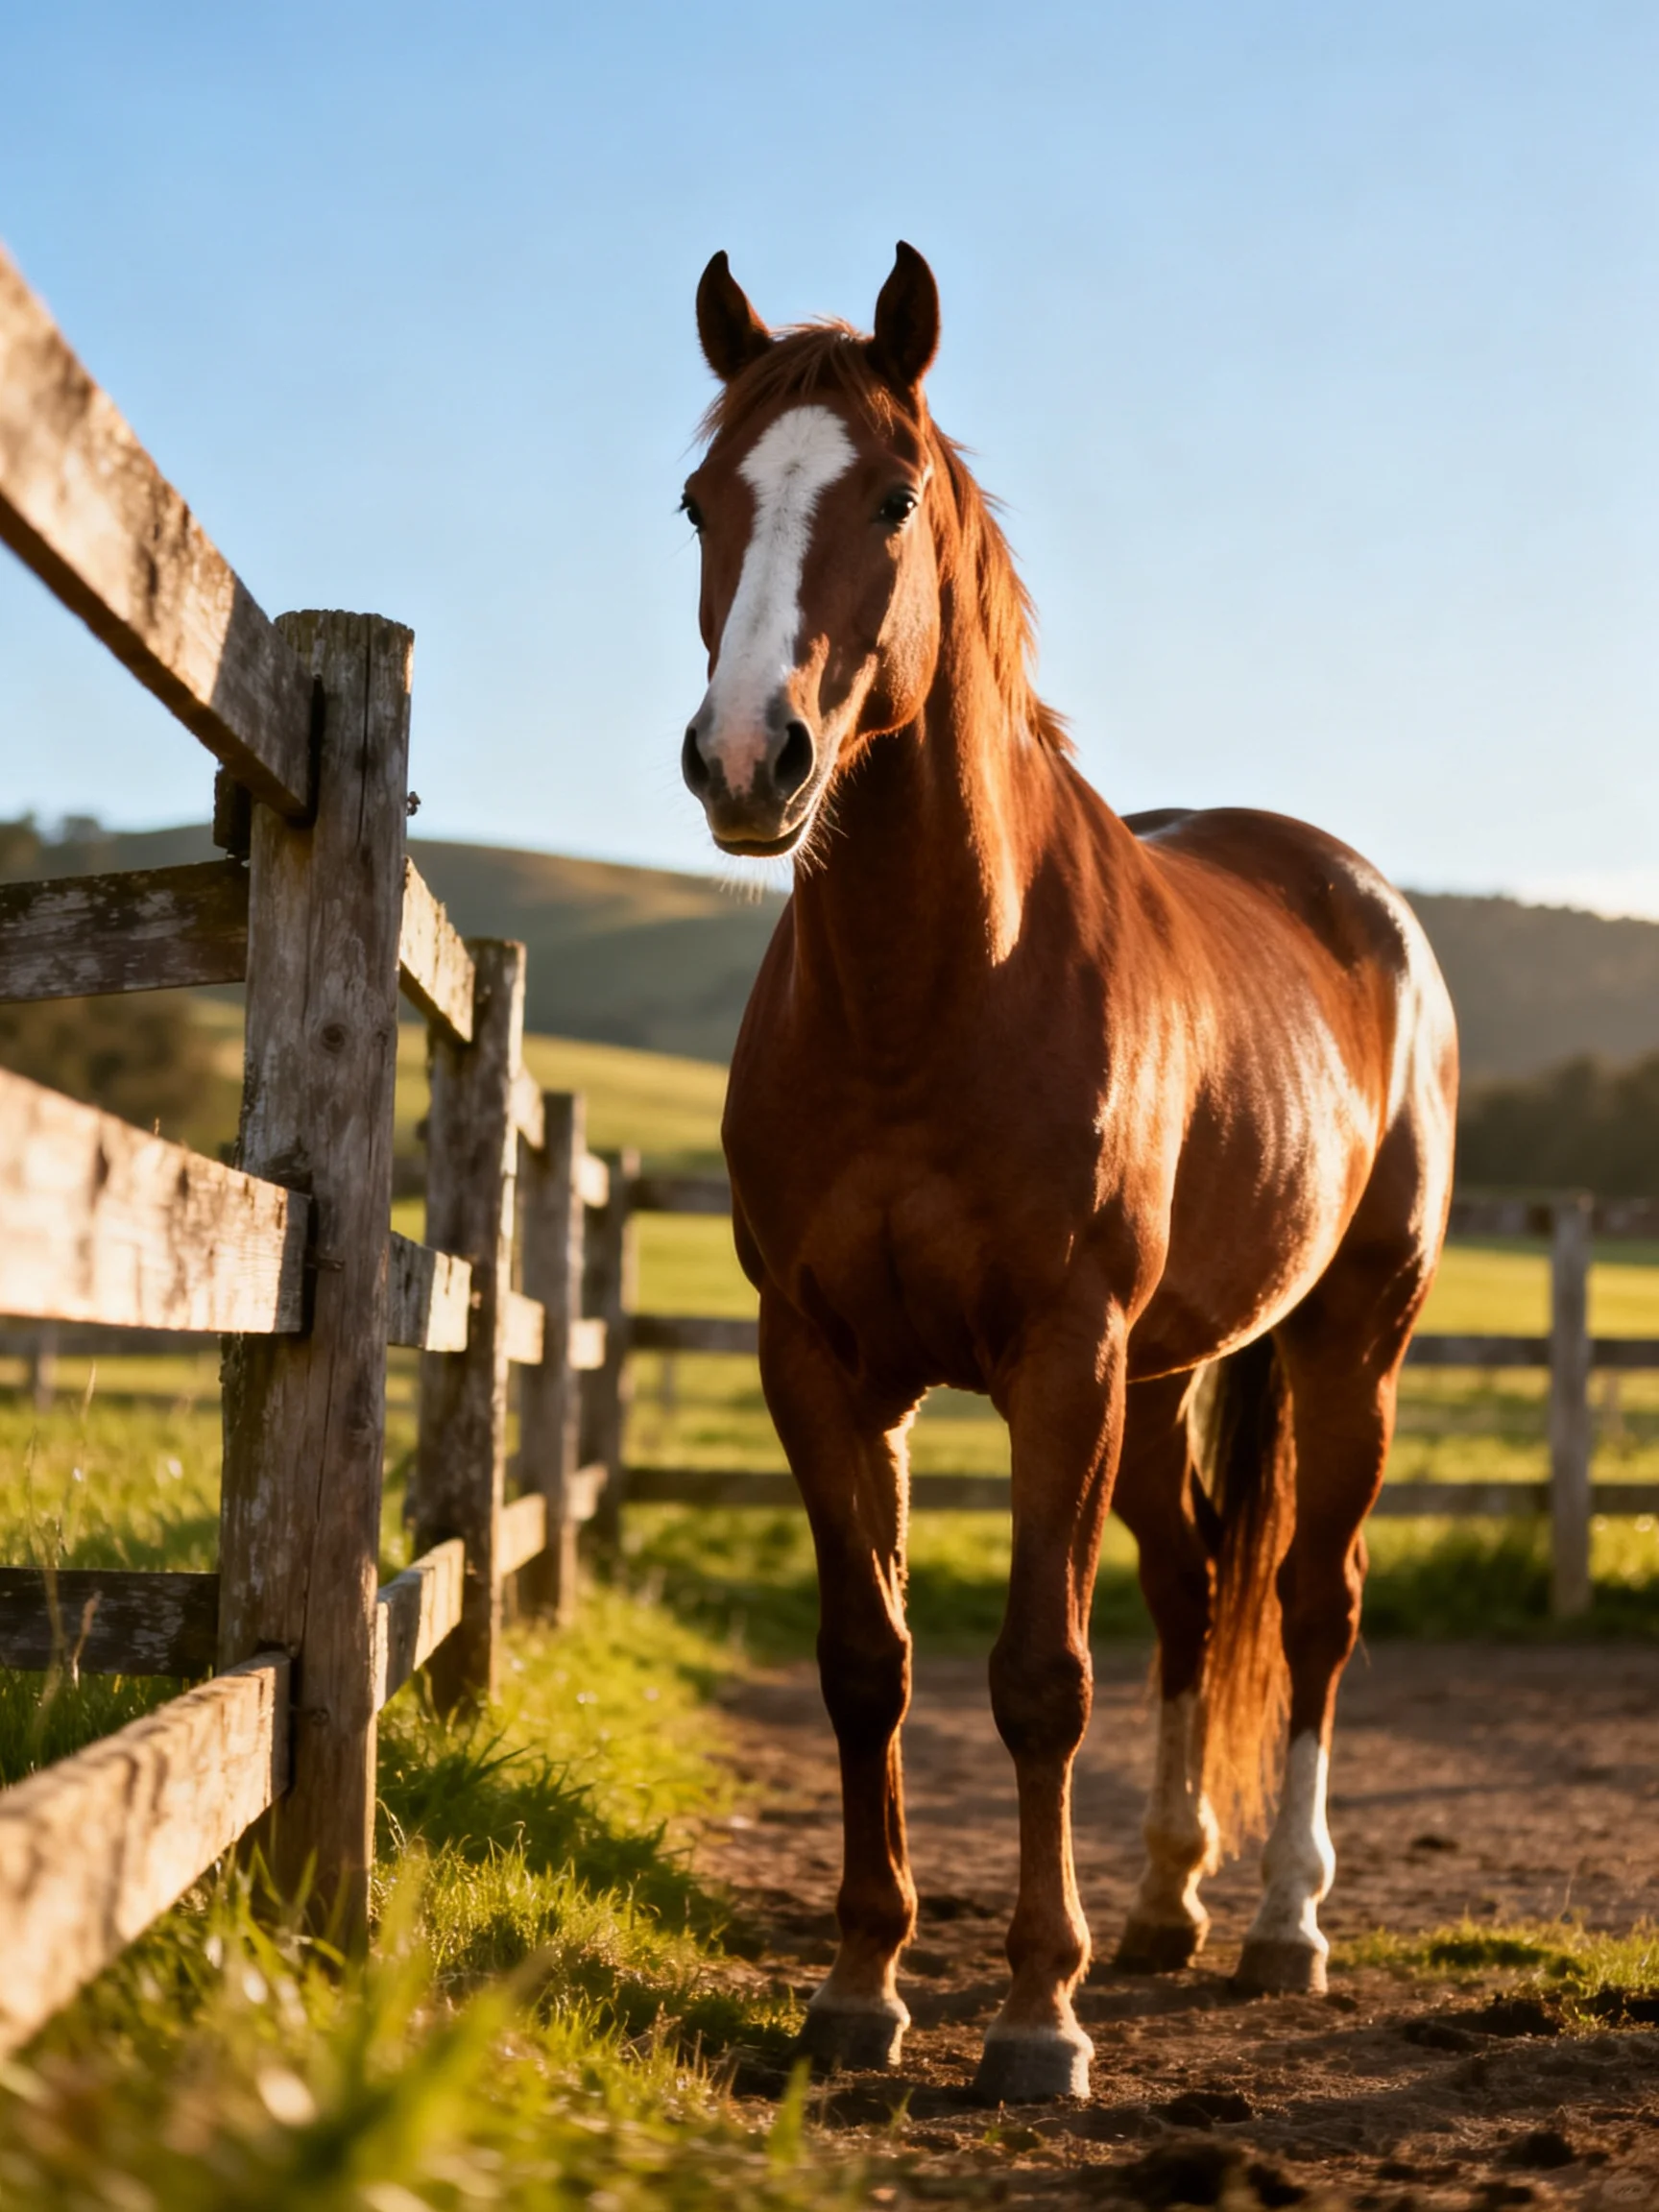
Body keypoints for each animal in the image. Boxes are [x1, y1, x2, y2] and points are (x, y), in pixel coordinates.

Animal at [677, 242, 1457, 2103]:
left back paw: (1280, 1922)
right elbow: (867, 1664)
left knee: (1311, 1605)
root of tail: (1361, 901)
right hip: (1165, 1383)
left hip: (1345, 1345)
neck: (930, 990)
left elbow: (1040, 1677)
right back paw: (1169, 1901)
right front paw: (859, 1988)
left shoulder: (1057, 1358)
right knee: (1192, 1589)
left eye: (891, 498)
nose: (746, 759)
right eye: (699, 503)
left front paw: (1038, 2013)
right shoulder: (822, 1363)